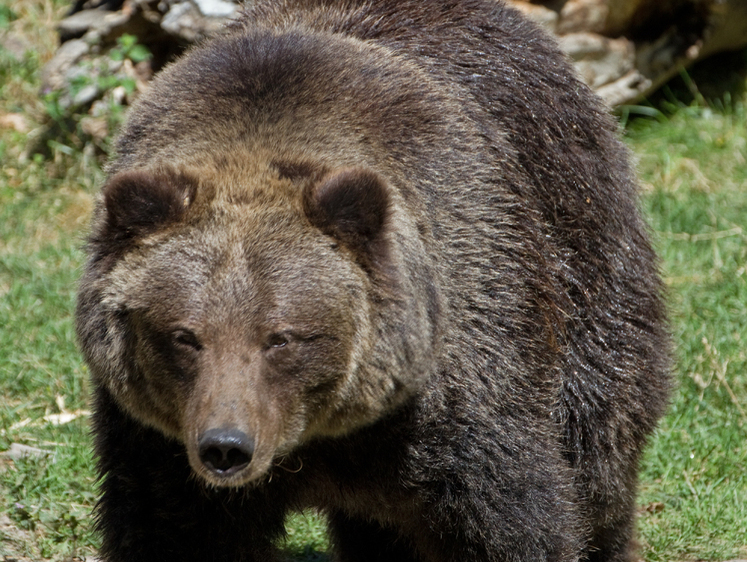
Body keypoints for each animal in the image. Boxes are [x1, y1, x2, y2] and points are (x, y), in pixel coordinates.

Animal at [76, 1, 672, 560]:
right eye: (184, 335)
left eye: (282, 337)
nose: (227, 445)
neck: (318, 441)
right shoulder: (158, 443)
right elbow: (172, 528)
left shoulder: (459, 385)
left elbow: (509, 516)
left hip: (579, 246)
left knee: (600, 441)